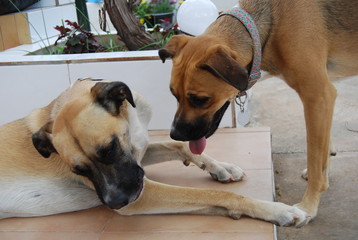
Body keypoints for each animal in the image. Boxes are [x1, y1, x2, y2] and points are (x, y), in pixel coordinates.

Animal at [0, 78, 310, 225]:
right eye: (78, 170)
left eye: (110, 148)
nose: (114, 204)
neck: (130, 121)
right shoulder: (142, 192)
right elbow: (218, 196)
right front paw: (277, 210)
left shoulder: (138, 155)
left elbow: (179, 145)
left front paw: (219, 166)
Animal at [159, 0, 358, 225]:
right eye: (174, 94)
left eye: (200, 99)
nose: (175, 135)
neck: (271, 25)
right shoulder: (323, 98)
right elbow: (323, 149)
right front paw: (326, 171)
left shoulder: (317, 96)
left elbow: (315, 158)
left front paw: (309, 205)